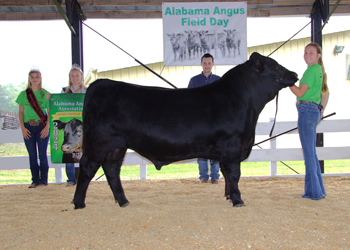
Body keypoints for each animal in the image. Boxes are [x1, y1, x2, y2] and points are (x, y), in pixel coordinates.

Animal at [74, 51, 298, 208]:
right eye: (274, 65)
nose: (294, 74)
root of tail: (99, 84)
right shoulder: (232, 146)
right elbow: (234, 174)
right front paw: (238, 200)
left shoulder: (226, 152)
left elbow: (226, 174)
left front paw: (228, 196)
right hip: (97, 143)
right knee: (86, 168)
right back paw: (79, 203)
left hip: (116, 147)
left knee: (112, 170)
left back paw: (123, 201)